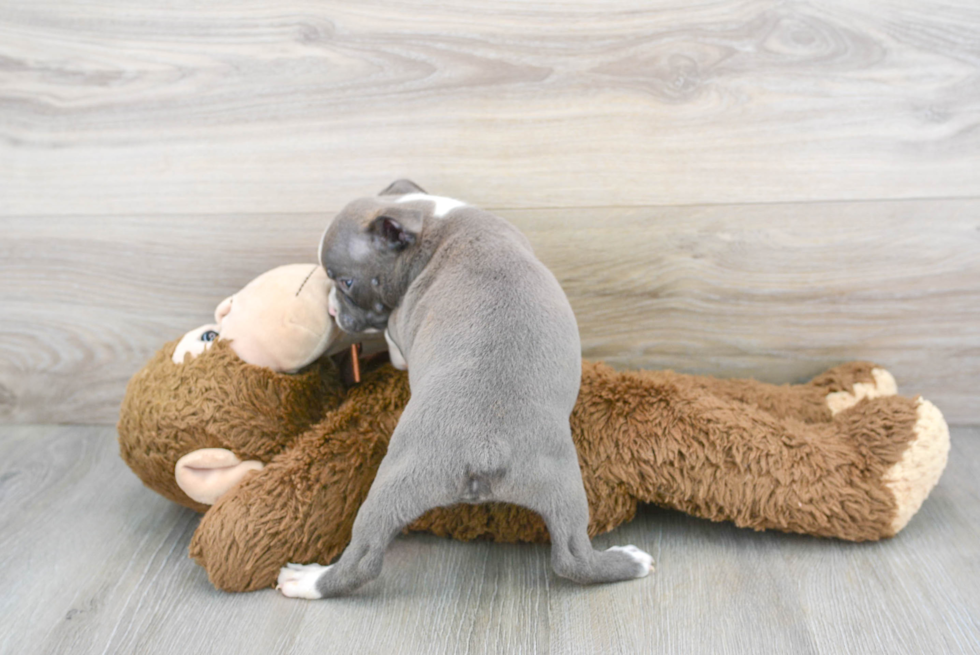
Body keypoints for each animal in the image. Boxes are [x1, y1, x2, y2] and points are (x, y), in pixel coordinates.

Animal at [276, 179, 656, 600]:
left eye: (344, 282)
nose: (330, 309)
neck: (431, 222)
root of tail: (484, 448)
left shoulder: (398, 326)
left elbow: (394, 342)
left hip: (400, 482)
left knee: (363, 561)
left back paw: (309, 581)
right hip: (562, 486)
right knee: (573, 558)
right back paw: (628, 562)